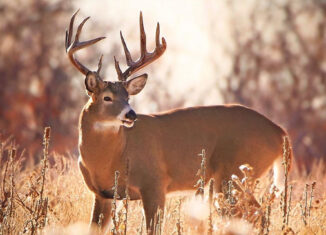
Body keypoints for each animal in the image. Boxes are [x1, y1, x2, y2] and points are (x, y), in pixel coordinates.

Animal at [64, 10, 292, 234]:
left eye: (127, 97)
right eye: (107, 97)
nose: (131, 115)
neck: (111, 157)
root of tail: (279, 132)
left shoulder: (155, 182)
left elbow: (153, 229)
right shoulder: (102, 193)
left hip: (236, 173)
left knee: (256, 215)